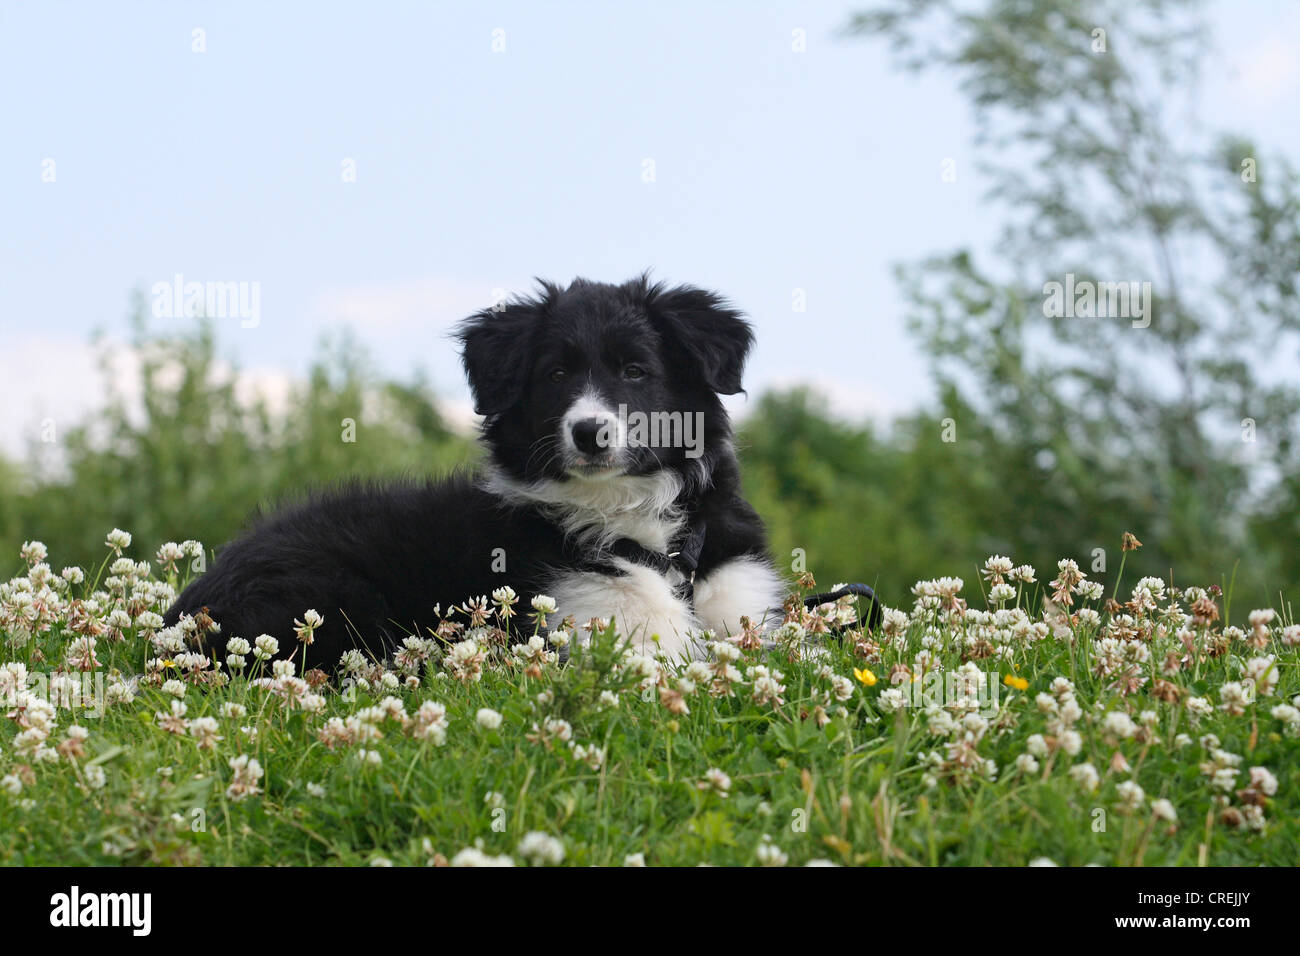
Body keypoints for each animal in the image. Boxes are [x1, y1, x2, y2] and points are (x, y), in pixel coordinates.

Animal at [167, 273, 785, 671]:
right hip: (332, 596)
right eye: (555, 374)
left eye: (636, 370)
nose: (590, 432)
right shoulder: (590, 622)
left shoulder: (743, 598)